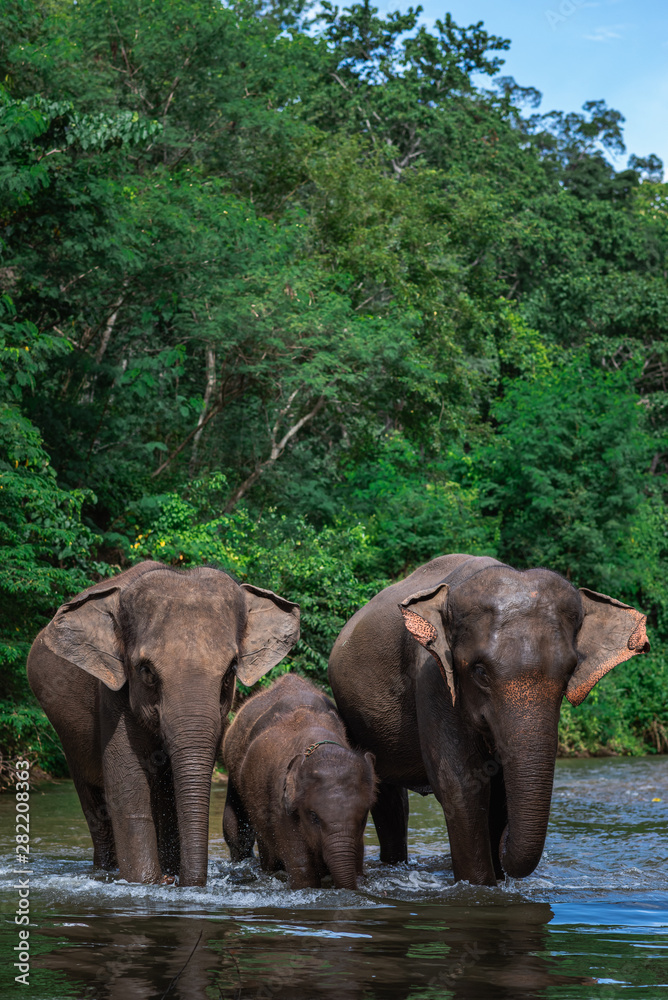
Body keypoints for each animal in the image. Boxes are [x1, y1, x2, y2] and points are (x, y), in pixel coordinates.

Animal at [27, 560, 299, 886]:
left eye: (231, 669)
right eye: (146, 671)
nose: (185, 883)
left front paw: (169, 877)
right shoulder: (113, 694)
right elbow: (127, 791)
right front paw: (145, 882)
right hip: (68, 735)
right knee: (94, 802)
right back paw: (104, 872)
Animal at [328, 554, 649, 887]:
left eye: (569, 672)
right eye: (480, 672)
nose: (504, 846)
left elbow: (499, 791)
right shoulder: (432, 676)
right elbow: (461, 784)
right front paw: (480, 885)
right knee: (389, 798)